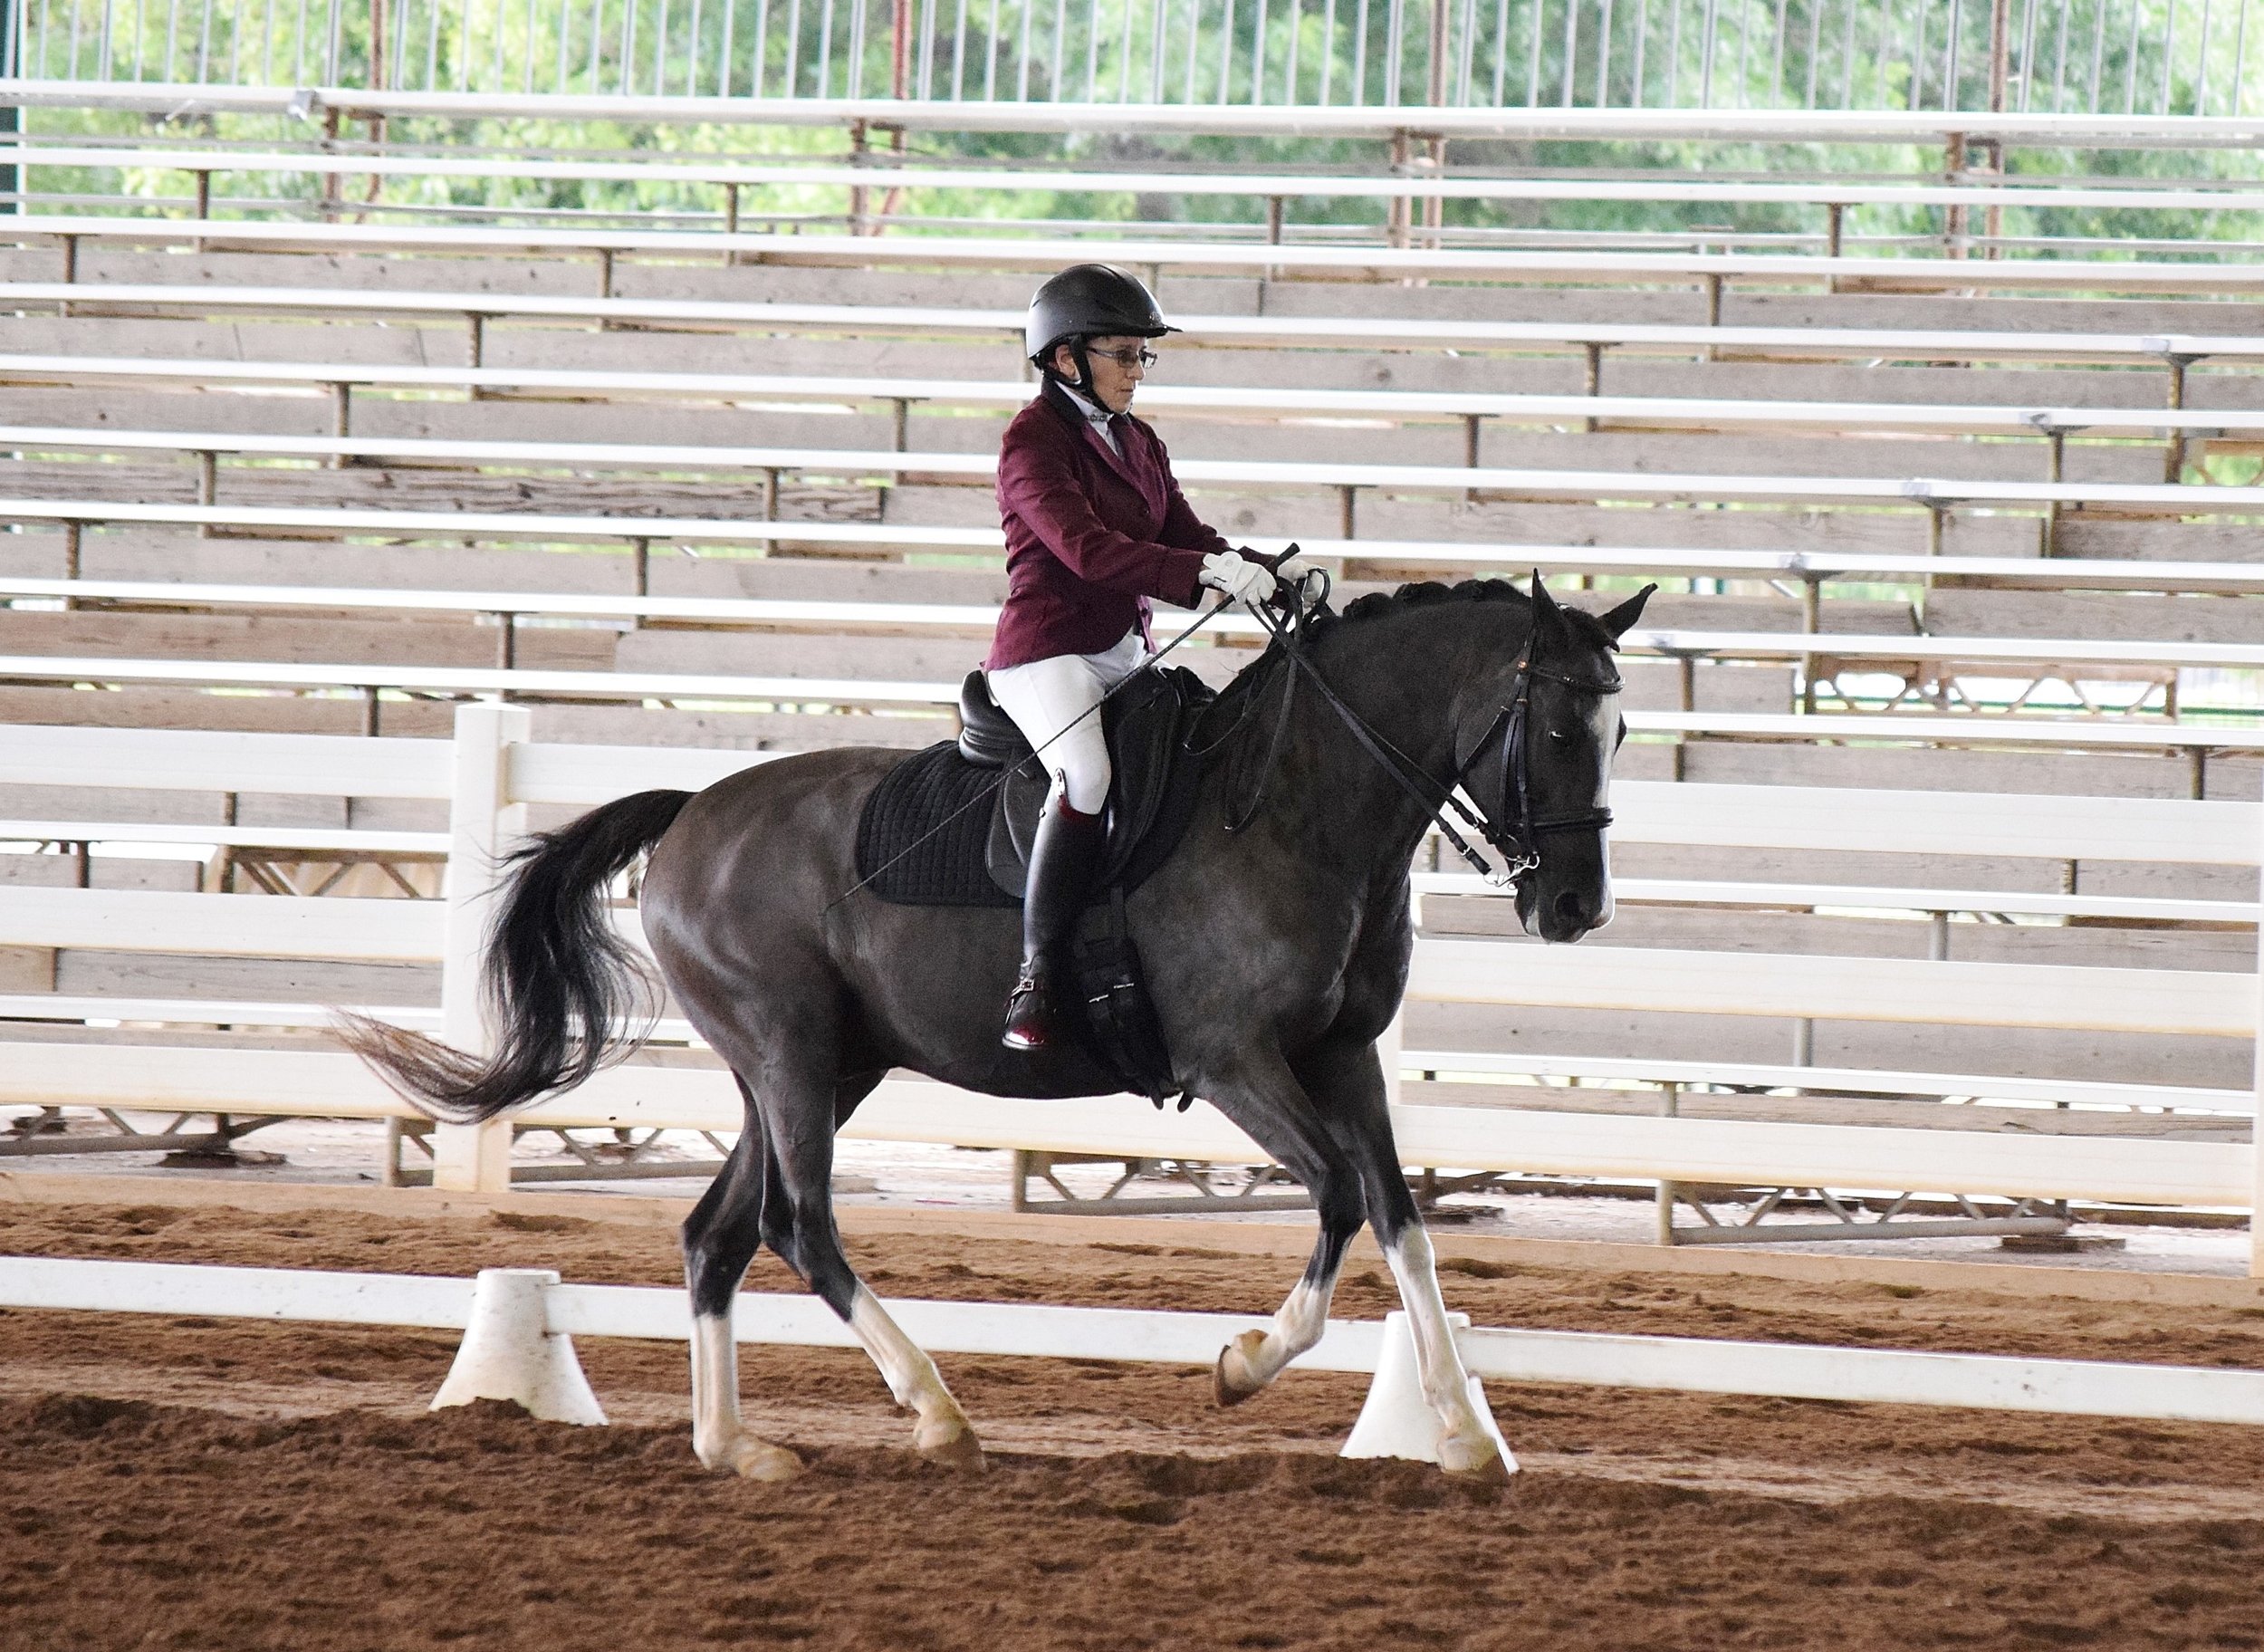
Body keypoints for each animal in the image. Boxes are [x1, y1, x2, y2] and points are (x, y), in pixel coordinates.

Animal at [344, 570, 1657, 1484]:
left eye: (1621, 732)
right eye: (1555, 730)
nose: (1577, 908)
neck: (1296, 806)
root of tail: (694, 812)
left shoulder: (1343, 1059)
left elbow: (1401, 1220)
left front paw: (1465, 1435)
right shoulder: (1235, 1062)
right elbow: (1338, 1196)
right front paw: (1242, 1365)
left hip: (821, 1069)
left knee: (718, 1235)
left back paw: (738, 1449)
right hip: (791, 1057)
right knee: (797, 1223)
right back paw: (936, 1414)